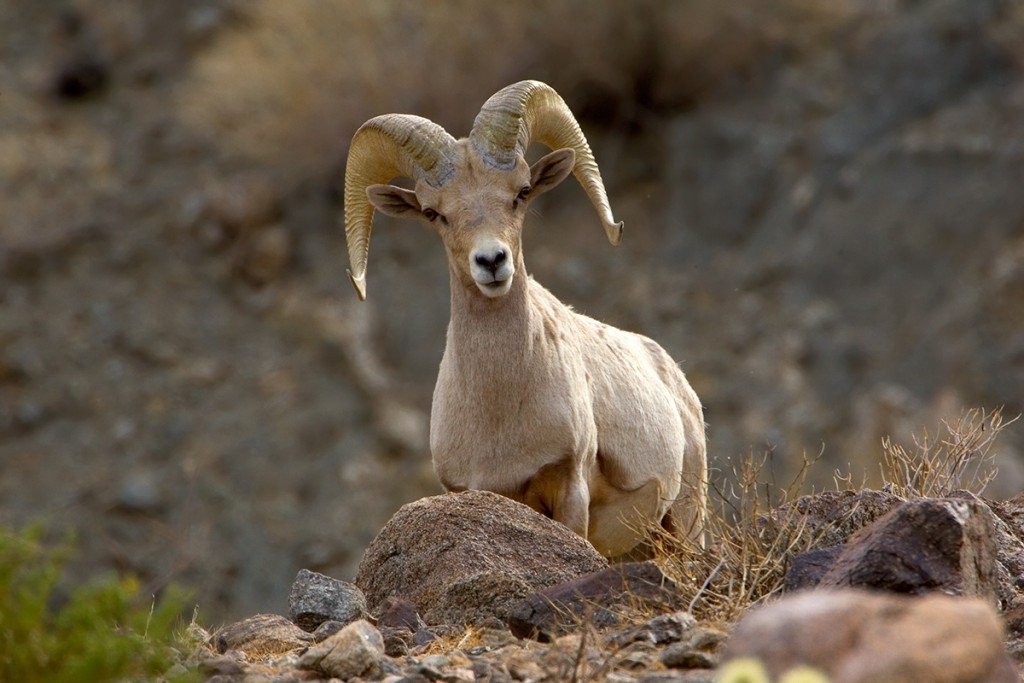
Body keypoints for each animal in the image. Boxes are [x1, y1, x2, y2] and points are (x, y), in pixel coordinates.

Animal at [342, 80, 706, 557]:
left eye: (522, 192)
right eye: (434, 213)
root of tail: (675, 376)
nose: (492, 261)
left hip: (686, 523)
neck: (500, 409)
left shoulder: (569, 490)